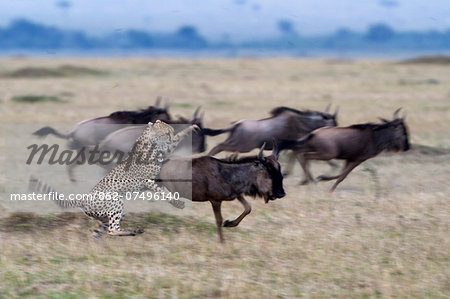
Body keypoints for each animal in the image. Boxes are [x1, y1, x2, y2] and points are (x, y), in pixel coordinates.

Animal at [28, 120, 197, 240]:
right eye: (166, 132)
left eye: (170, 131)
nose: (170, 134)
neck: (147, 138)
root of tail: (83, 199)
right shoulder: (147, 180)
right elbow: (163, 193)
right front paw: (178, 203)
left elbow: (175, 142)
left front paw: (190, 129)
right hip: (115, 203)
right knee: (112, 230)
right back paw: (133, 231)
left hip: (104, 216)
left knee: (98, 232)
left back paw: (102, 246)